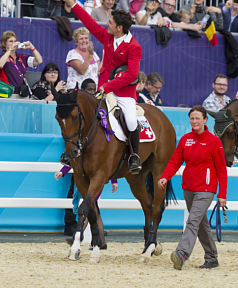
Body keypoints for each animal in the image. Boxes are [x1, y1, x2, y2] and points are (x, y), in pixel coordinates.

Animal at [52, 85, 177, 260]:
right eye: (57, 118)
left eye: (75, 117)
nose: (72, 153)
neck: (92, 133)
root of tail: (162, 116)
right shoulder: (81, 179)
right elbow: (91, 211)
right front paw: (96, 247)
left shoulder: (99, 175)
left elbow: (84, 208)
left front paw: (76, 248)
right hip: (135, 178)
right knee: (147, 204)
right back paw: (148, 246)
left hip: (160, 170)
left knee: (157, 207)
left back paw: (149, 249)